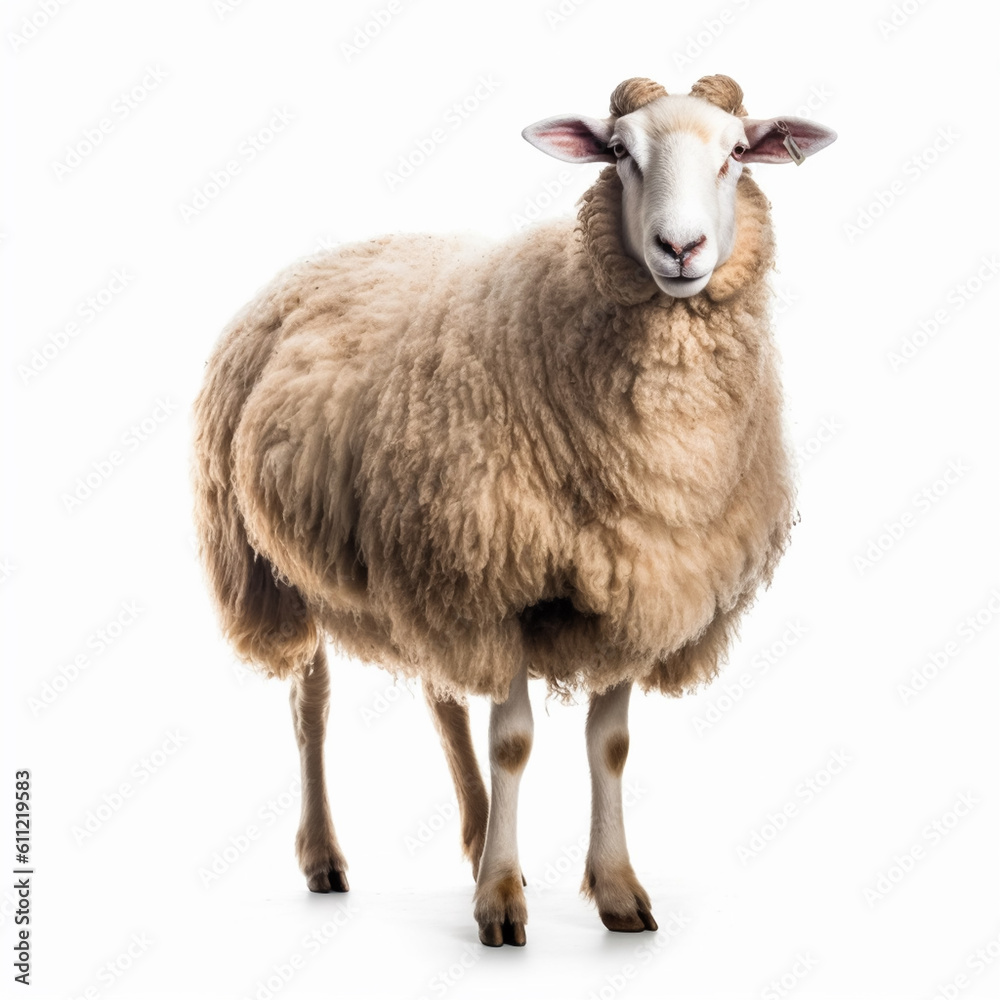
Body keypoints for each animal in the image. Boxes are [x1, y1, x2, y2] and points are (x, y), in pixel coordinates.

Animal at [191, 74, 836, 947]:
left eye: (736, 152)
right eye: (620, 152)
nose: (681, 249)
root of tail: (328, 256)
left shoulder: (631, 582)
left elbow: (610, 746)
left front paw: (615, 890)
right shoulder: (498, 582)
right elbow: (515, 744)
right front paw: (500, 902)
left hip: (422, 555)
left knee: (439, 698)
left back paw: (472, 835)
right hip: (280, 566)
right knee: (310, 705)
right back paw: (327, 857)